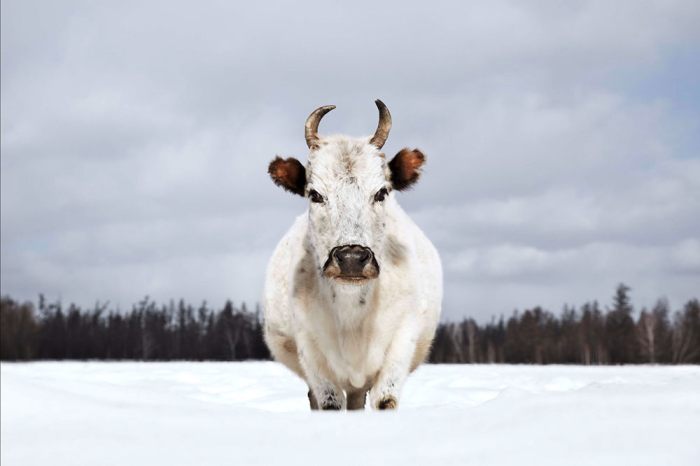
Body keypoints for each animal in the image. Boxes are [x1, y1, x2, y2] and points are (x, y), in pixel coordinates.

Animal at [263, 100, 442, 410]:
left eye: (381, 192)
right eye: (315, 194)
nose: (351, 259)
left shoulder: (400, 341)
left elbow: (385, 400)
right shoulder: (311, 351)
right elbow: (329, 402)